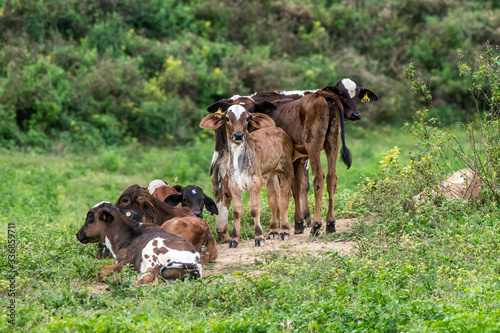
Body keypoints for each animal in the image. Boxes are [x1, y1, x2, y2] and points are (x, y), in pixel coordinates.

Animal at [199, 105, 294, 248]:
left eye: (247, 118)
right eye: (227, 118)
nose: (238, 135)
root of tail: (280, 130)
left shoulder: (255, 182)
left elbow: (254, 209)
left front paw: (259, 237)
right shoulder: (233, 184)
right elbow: (237, 211)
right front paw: (234, 238)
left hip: (286, 170)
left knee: (283, 200)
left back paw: (285, 230)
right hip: (271, 174)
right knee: (273, 199)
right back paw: (273, 231)